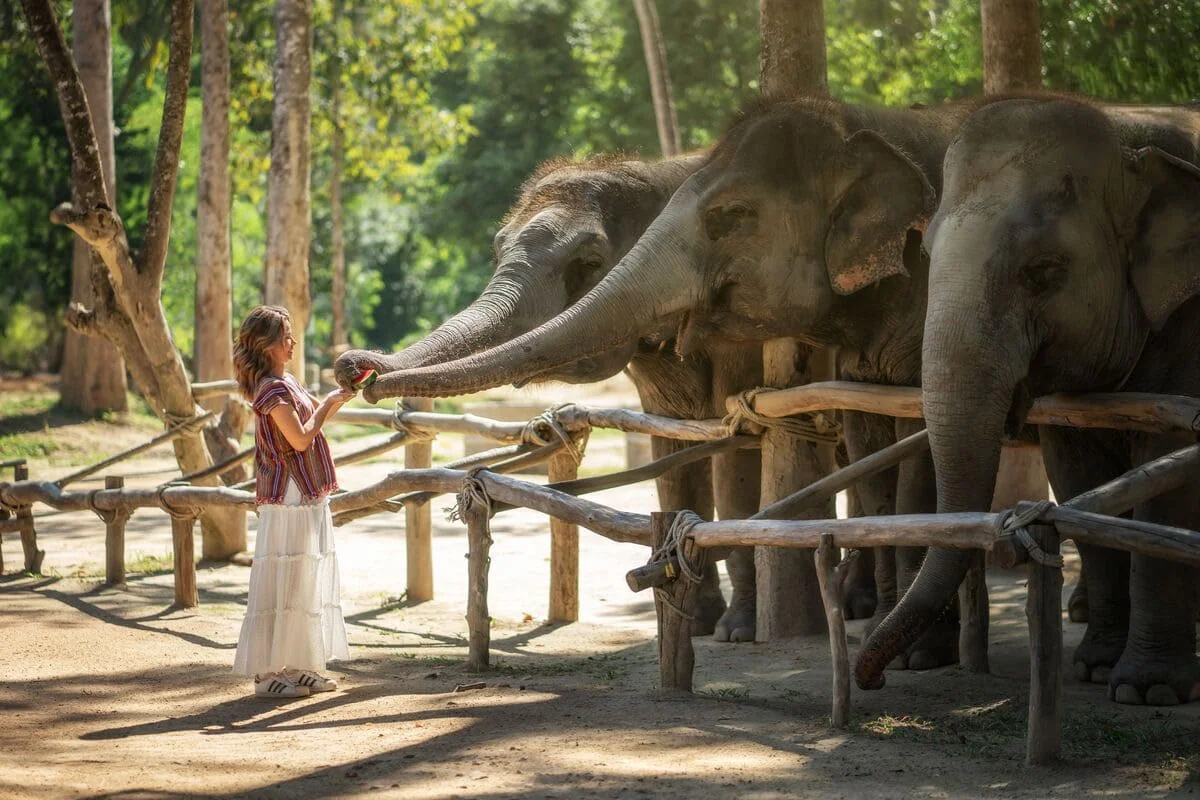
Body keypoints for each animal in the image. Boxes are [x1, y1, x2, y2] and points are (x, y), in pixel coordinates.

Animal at [335, 153, 786, 641]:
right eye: (498, 252)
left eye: (590, 261)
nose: (355, 369)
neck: (657, 171)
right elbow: (673, 455)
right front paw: (698, 624)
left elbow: (739, 454)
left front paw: (736, 631)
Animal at [857, 96, 1200, 705]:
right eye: (925, 254)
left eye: (1043, 271)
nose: (872, 678)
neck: (1128, 141)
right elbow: (1078, 478)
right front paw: (1095, 669)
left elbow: (1167, 478)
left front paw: (1147, 691)